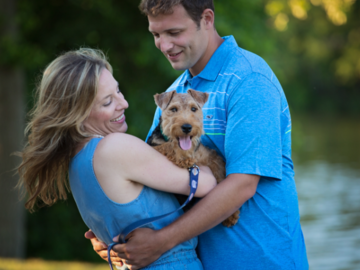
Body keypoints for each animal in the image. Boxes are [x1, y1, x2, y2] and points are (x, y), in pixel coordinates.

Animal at [148, 89, 240, 228]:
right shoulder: (152, 146)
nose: (187, 127)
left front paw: (231, 215)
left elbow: (220, 174)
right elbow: (167, 146)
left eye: (193, 109)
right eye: (173, 109)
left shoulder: (211, 156)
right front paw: (182, 158)